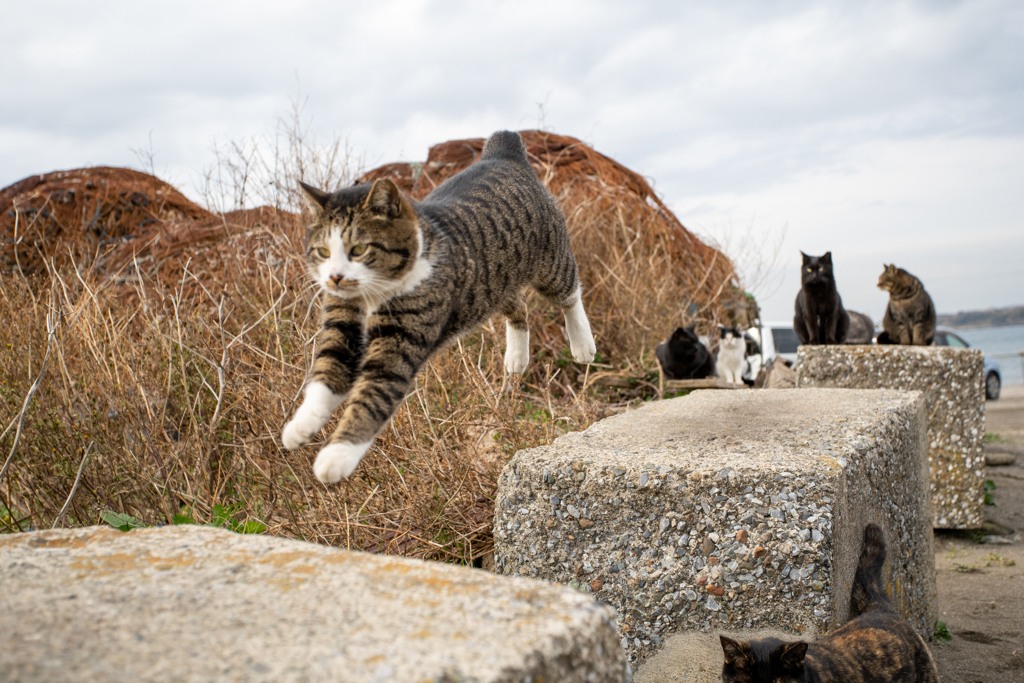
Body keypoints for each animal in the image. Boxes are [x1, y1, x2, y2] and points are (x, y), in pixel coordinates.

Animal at [284, 131, 598, 483]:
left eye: (359, 249)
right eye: (323, 251)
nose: (335, 277)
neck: (371, 296)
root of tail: (503, 151)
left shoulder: (401, 342)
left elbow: (372, 395)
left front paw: (337, 456)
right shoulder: (341, 325)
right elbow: (326, 373)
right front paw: (300, 427)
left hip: (550, 261)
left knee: (569, 293)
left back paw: (583, 345)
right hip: (495, 282)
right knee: (518, 307)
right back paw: (516, 359)